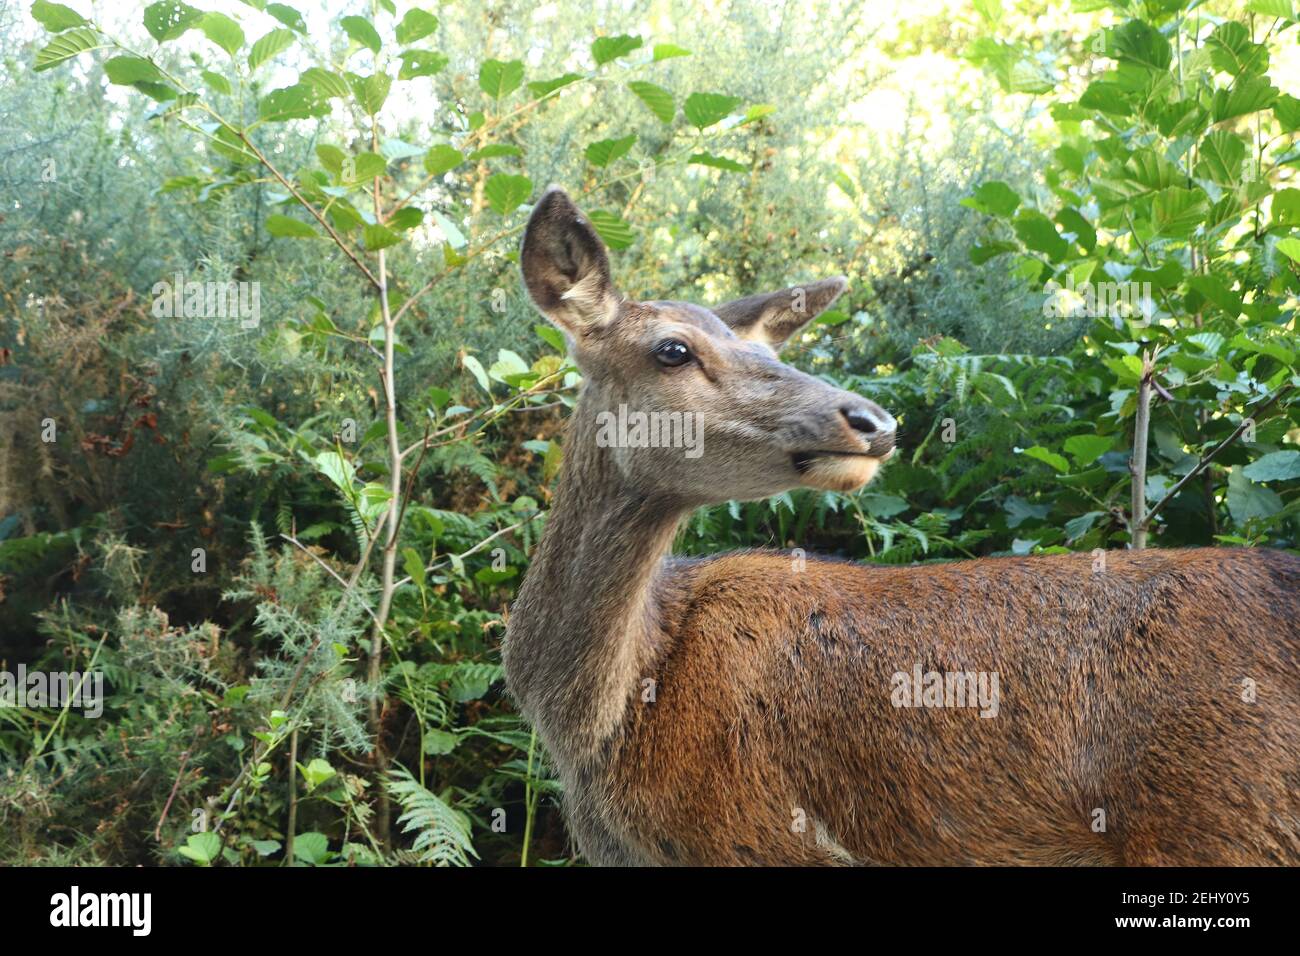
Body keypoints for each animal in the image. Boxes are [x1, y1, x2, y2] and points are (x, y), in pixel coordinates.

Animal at [502, 187, 1300, 866]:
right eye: (672, 348)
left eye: (769, 352)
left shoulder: (766, 834)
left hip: (1220, 823)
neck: (604, 725)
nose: (874, 421)